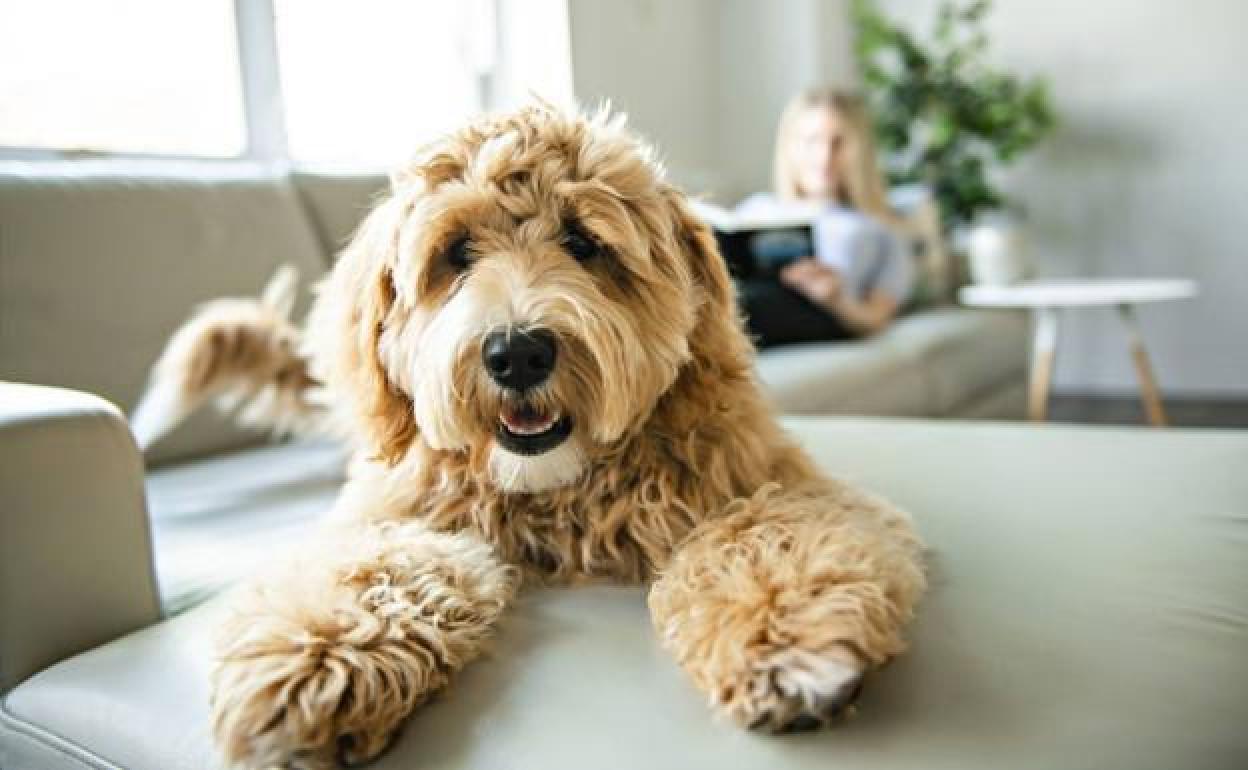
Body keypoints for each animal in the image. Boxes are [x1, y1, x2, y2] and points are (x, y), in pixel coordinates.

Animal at [134, 103, 928, 768]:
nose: (516, 353)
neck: (558, 492)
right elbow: (375, 567)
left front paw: (785, 639)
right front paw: (314, 663)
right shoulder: (397, 514)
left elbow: (763, 535)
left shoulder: (774, 483)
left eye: (583, 242)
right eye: (456, 252)